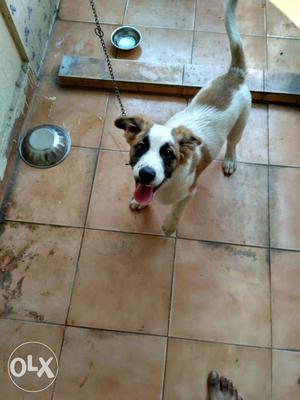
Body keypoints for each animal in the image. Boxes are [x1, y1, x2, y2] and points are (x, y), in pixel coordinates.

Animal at [114, 0, 251, 236]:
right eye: (140, 147)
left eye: (169, 154)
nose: (147, 174)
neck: (169, 181)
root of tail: (235, 75)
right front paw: (140, 202)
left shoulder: (189, 192)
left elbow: (176, 211)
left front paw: (169, 226)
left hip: (241, 122)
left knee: (233, 142)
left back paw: (230, 161)